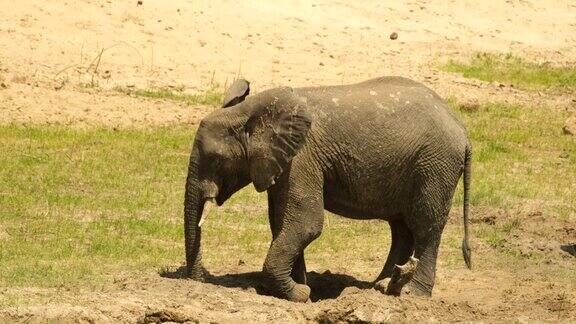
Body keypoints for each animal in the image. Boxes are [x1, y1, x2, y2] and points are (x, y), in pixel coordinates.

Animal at [184, 75, 472, 302]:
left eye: (216, 159)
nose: (199, 280)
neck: (248, 112)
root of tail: (462, 128)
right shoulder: (283, 161)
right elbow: (281, 223)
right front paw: (299, 288)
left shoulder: (302, 158)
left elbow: (305, 224)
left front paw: (300, 294)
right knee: (401, 228)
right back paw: (380, 287)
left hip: (436, 165)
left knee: (426, 228)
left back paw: (413, 294)